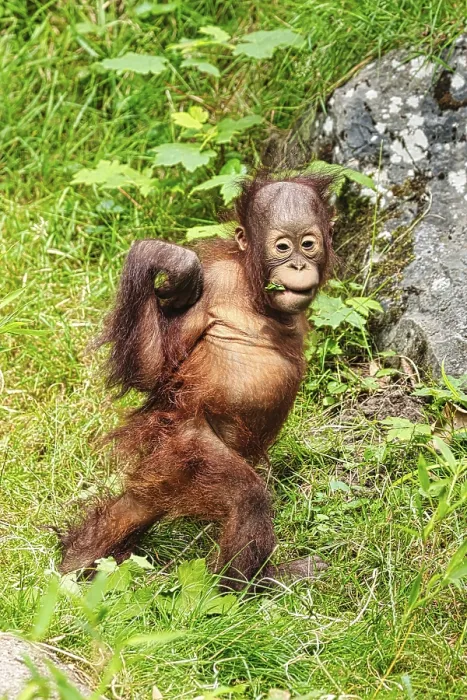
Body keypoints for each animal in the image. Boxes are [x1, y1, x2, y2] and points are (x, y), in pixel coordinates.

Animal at [59, 173, 335, 591]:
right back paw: (249, 589)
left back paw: (80, 555)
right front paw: (162, 257)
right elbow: (152, 370)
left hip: (170, 466)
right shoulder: (212, 286)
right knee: (246, 498)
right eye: (282, 247)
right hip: (187, 448)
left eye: (308, 244)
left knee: (135, 506)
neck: (255, 293)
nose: (300, 265)